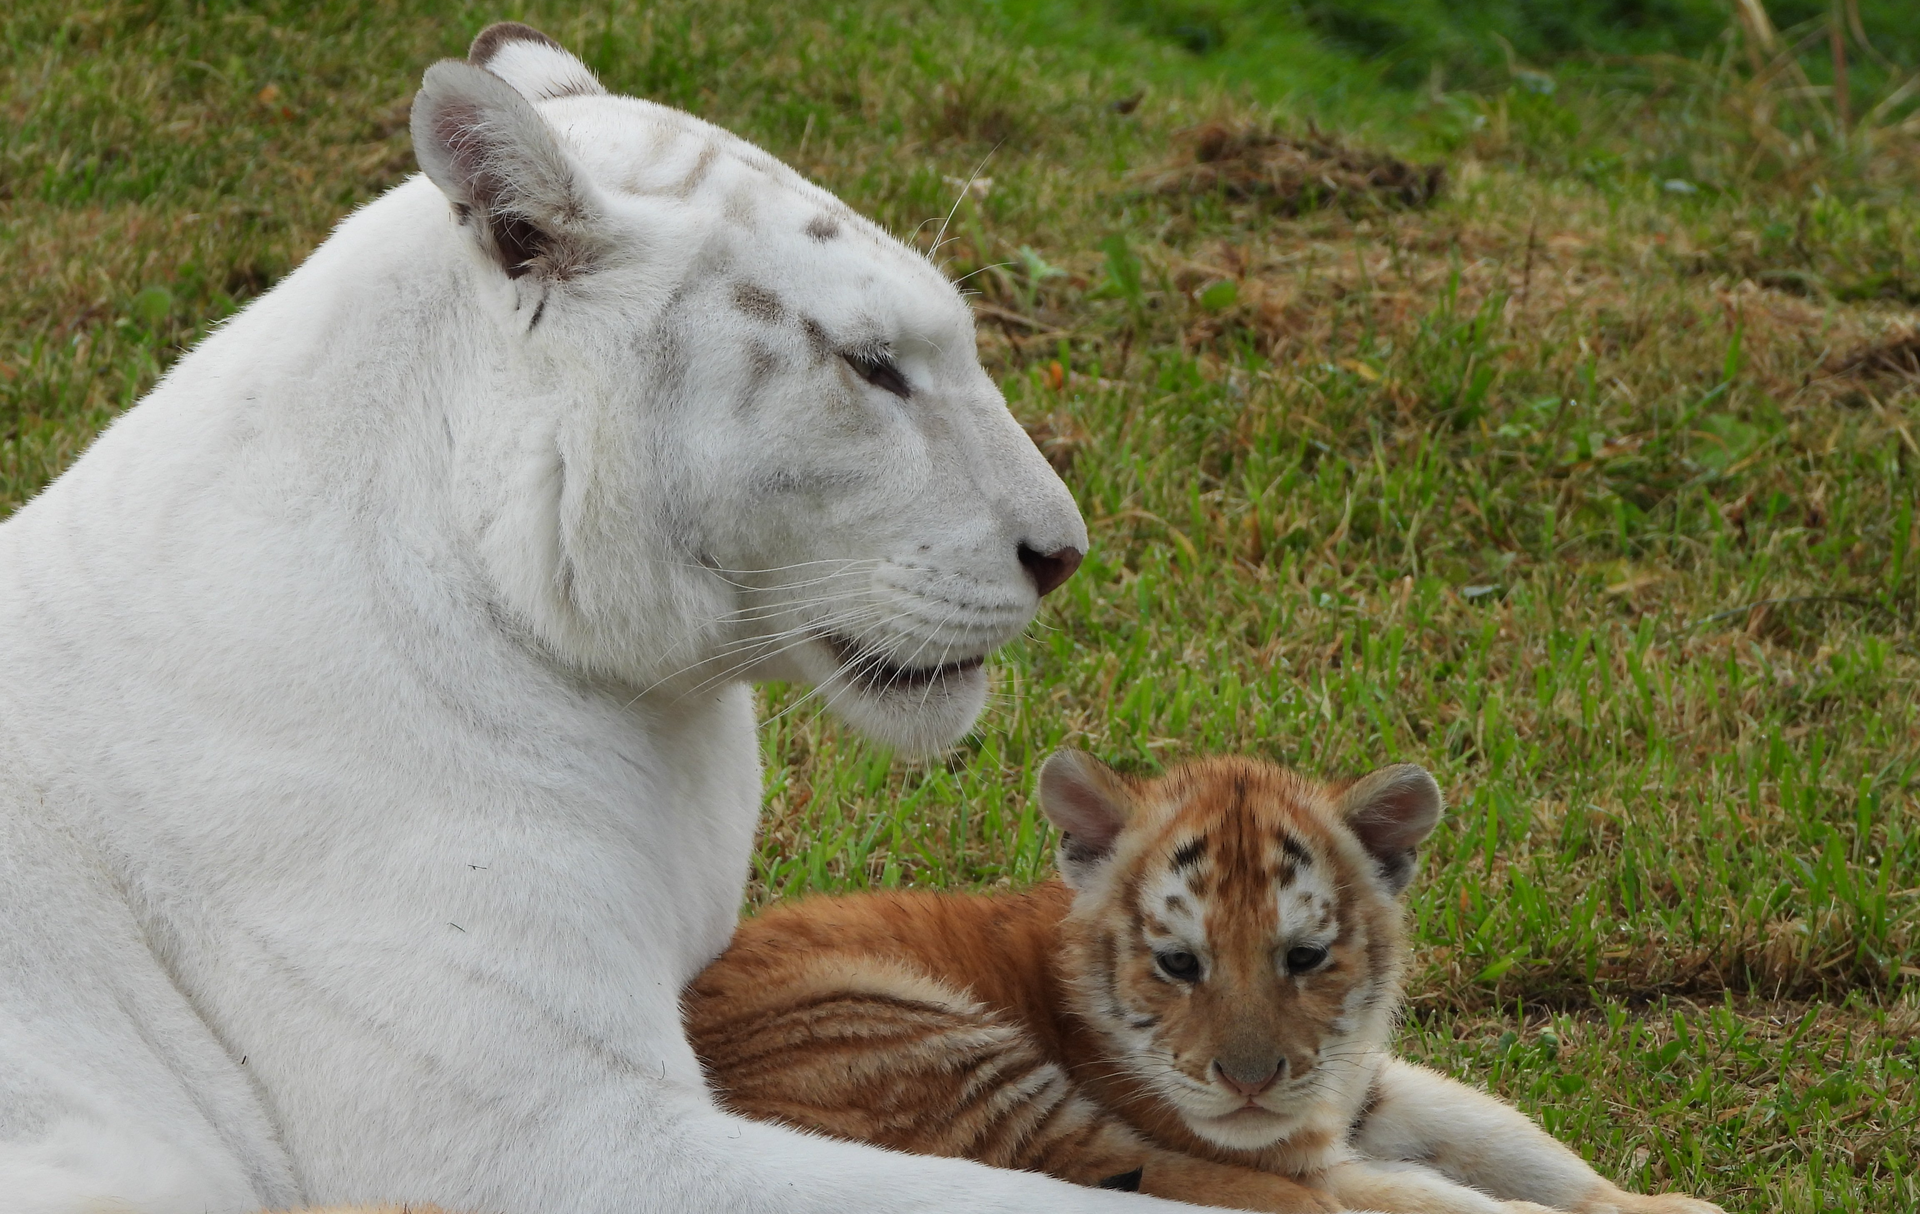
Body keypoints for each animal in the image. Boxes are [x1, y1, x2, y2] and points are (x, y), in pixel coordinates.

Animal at [686, 751, 1725, 1214]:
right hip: (938, 1055)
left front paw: (1668, 1209)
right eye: (1179, 963)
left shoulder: (1368, 1085)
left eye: (1303, 958)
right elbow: (1464, 1201)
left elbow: (1520, 1145)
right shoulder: (1300, 1154)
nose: (1250, 1082)